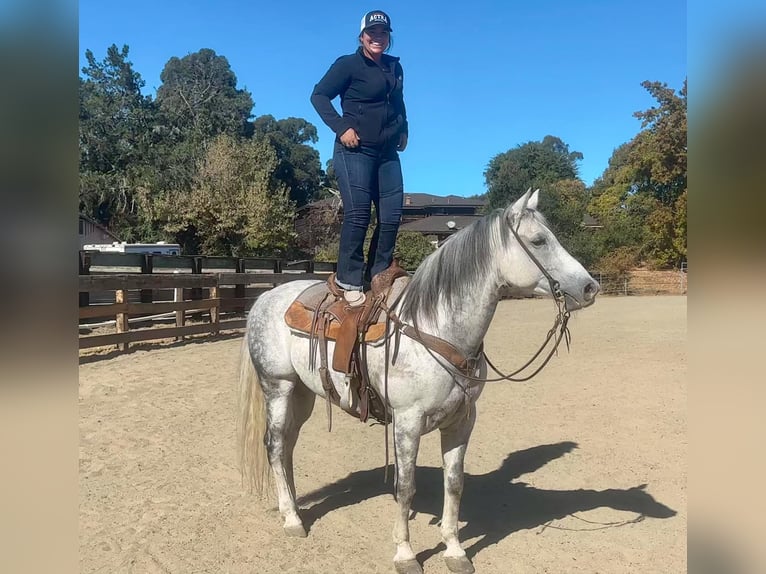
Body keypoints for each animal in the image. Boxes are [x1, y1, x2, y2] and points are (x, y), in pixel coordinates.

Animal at [237, 189, 600, 574]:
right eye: (539, 240)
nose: (590, 287)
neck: (434, 326)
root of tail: (267, 296)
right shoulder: (407, 422)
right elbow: (405, 487)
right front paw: (405, 554)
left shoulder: (462, 421)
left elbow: (454, 483)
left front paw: (454, 550)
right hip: (278, 387)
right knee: (275, 445)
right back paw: (293, 520)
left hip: (303, 395)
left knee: (288, 447)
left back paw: (291, 505)